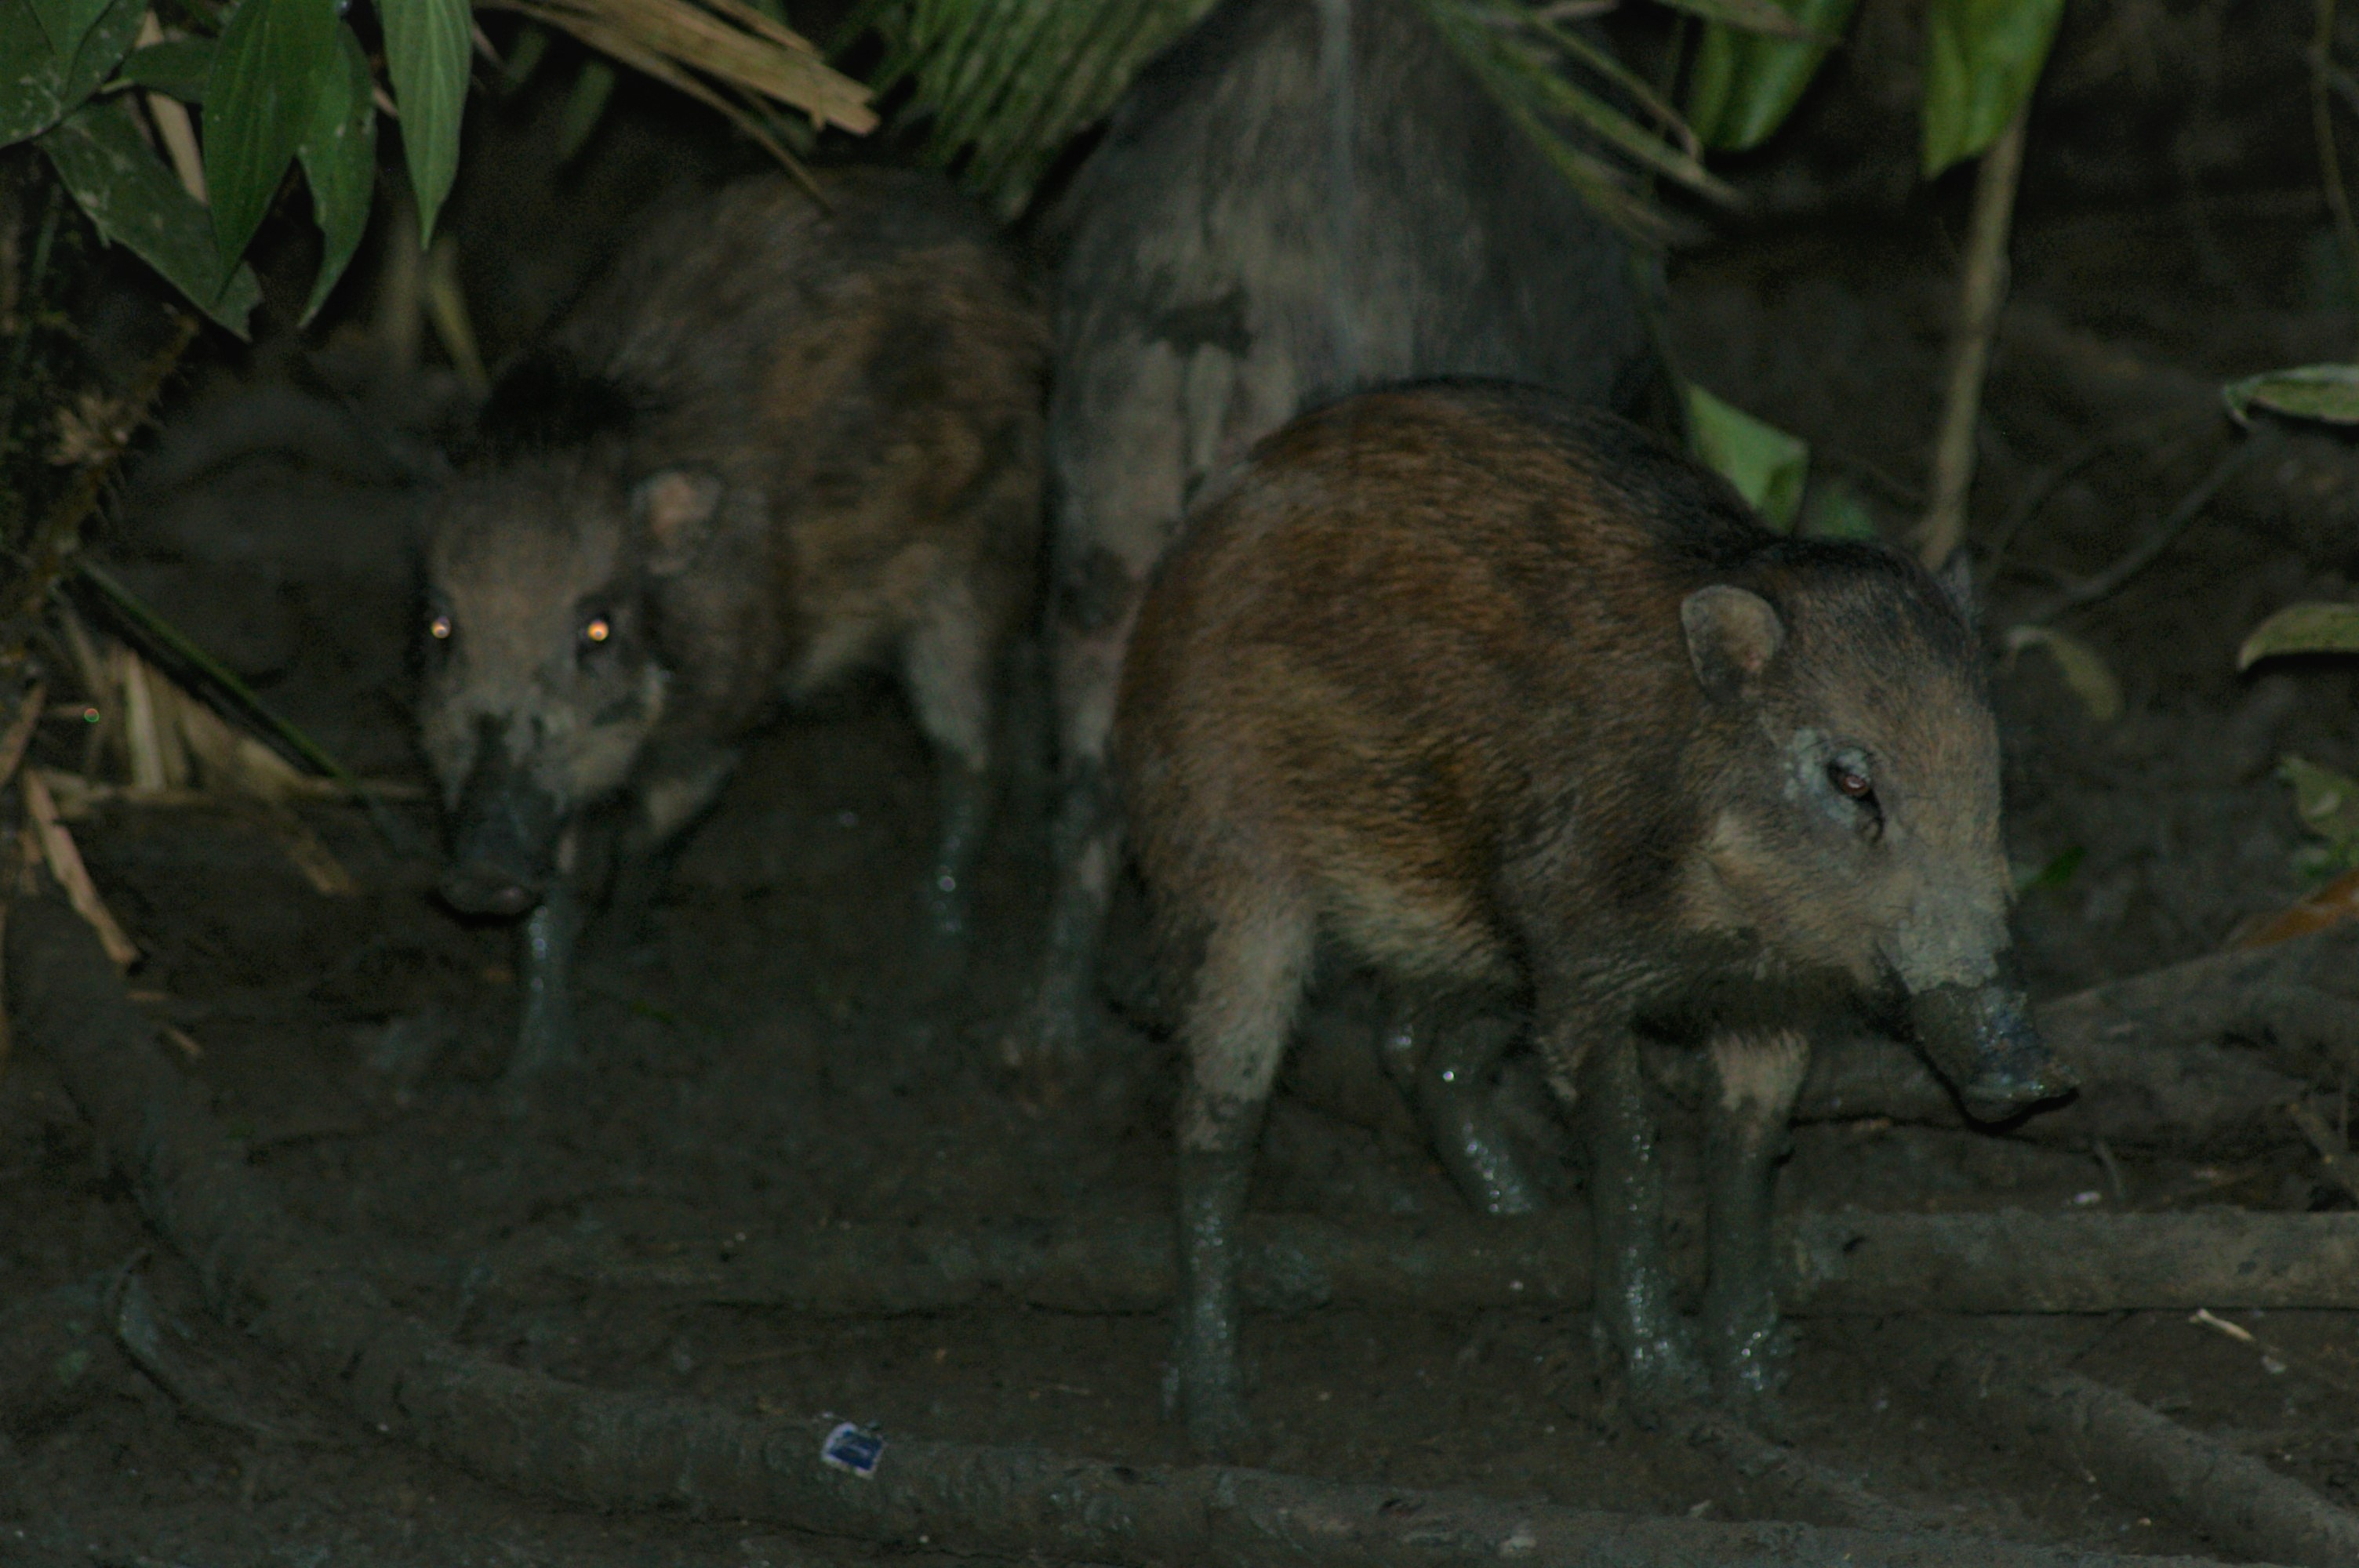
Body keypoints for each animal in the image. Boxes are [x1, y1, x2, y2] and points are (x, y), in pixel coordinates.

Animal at [420, 168, 1046, 1087]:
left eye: (598, 631)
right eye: (440, 629)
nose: (479, 874)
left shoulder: (722, 721)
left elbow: (647, 846)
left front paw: (622, 972)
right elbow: (557, 898)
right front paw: (530, 1081)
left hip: (976, 561)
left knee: (974, 758)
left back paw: (930, 976)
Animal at [1115, 380, 2075, 1453]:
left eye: (1990, 774)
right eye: (1851, 778)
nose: (2030, 1074)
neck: (1722, 915)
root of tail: (1178, 560)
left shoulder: (1763, 1008)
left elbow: (1745, 1157)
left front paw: (1756, 1385)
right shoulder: (1577, 961)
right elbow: (1630, 1151)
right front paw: (1664, 1383)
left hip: (1472, 940)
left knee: (1414, 1049)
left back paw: (1511, 1229)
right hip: (1228, 862)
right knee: (1216, 1112)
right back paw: (1216, 1413)